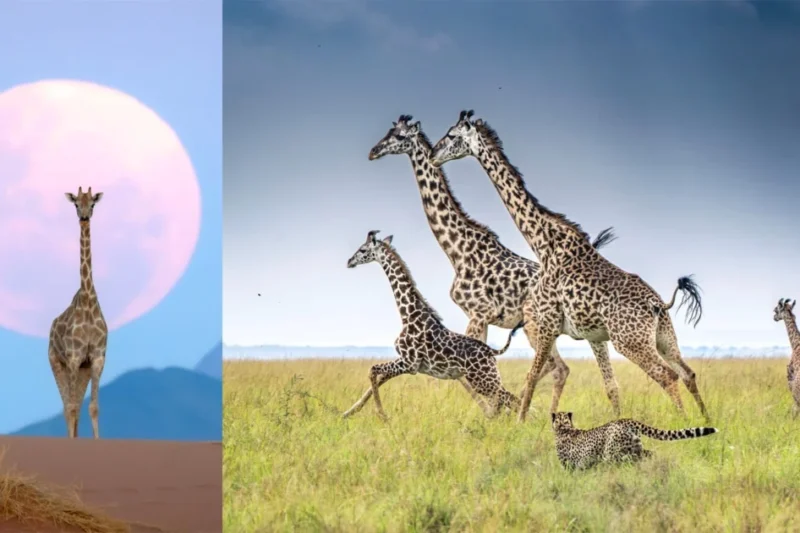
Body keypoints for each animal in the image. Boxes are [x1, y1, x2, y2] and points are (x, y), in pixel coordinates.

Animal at [342, 230, 522, 421]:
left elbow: (373, 370)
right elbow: (378, 377)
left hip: (483, 379)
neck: (408, 315)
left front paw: (382, 415)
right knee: (506, 402)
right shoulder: (409, 364)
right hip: (488, 378)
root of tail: (491, 351)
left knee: (512, 400)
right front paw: (349, 412)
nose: (349, 262)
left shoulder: (409, 363)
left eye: (362, 249)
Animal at [368, 114, 623, 416]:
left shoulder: (478, 314)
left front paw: (491, 412)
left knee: (557, 368)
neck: (458, 250)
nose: (373, 151)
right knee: (575, 372)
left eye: (398, 136)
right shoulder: (480, 318)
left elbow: (466, 372)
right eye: (389, 131)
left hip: (537, 328)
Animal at [431, 110, 710, 423]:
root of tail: (658, 304)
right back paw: (706, 422)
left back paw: (685, 423)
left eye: (452, 135)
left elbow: (531, 376)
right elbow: (603, 384)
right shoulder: (584, 333)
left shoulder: (546, 322)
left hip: (630, 341)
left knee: (666, 376)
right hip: (663, 337)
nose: (433, 155)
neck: (543, 243)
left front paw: (520, 422)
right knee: (687, 373)